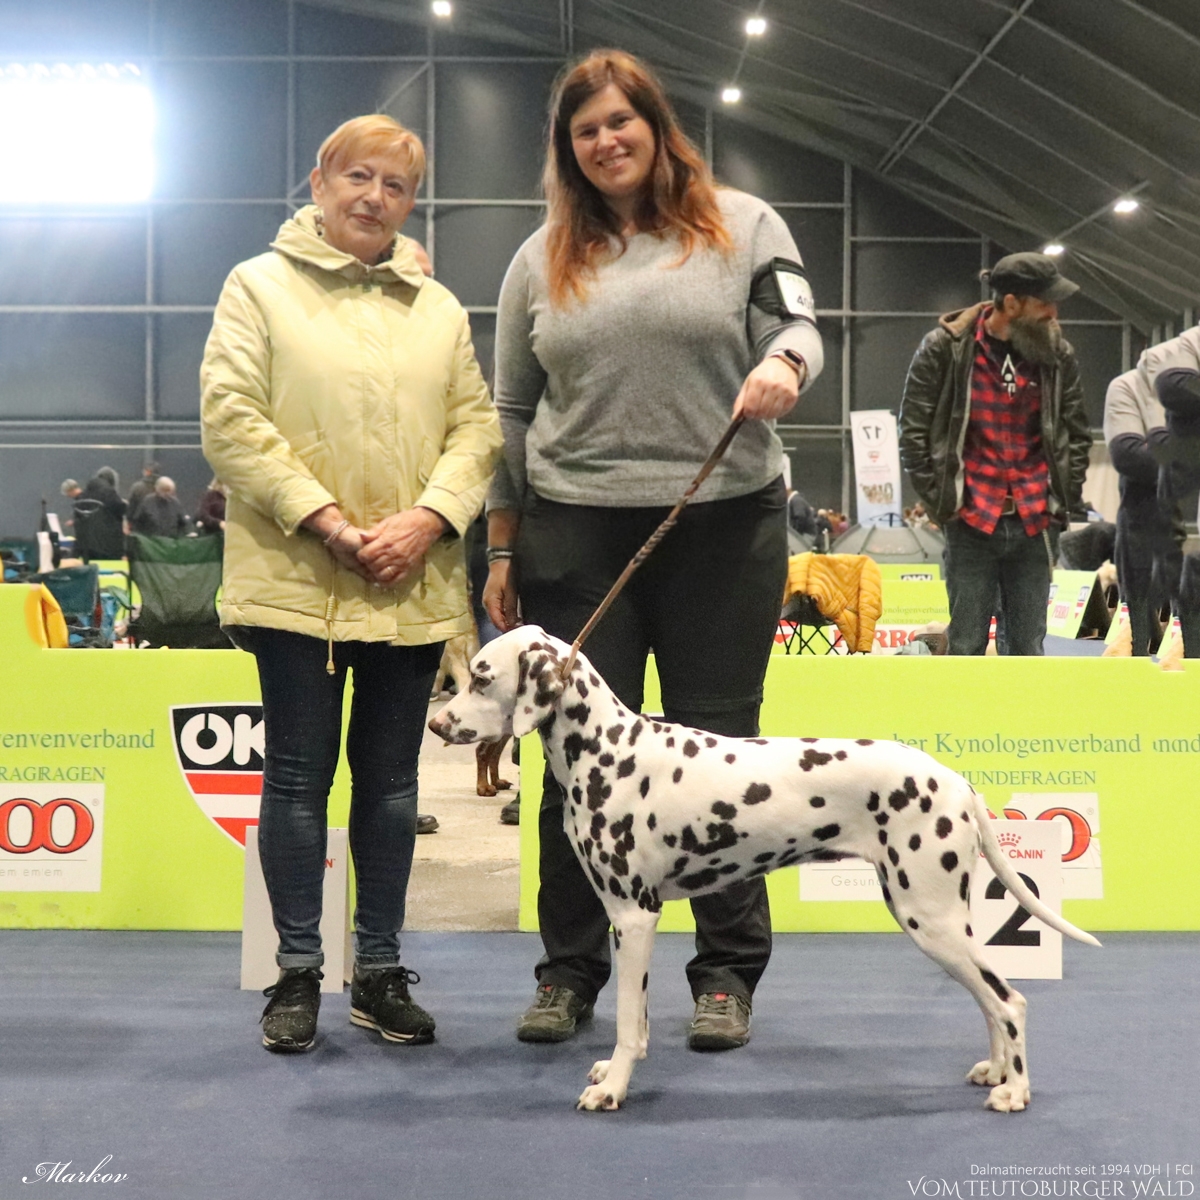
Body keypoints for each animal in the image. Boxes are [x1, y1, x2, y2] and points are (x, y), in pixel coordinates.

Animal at [427, 628, 1099, 1113]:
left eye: (481, 678)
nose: (434, 723)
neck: (609, 752)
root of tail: (957, 783)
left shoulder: (635, 917)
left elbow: (626, 1024)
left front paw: (612, 1086)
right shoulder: (628, 921)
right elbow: (633, 1015)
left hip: (929, 918)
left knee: (1010, 1000)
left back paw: (1015, 1090)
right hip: (942, 923)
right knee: (991, 1001)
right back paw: (997, 1070)